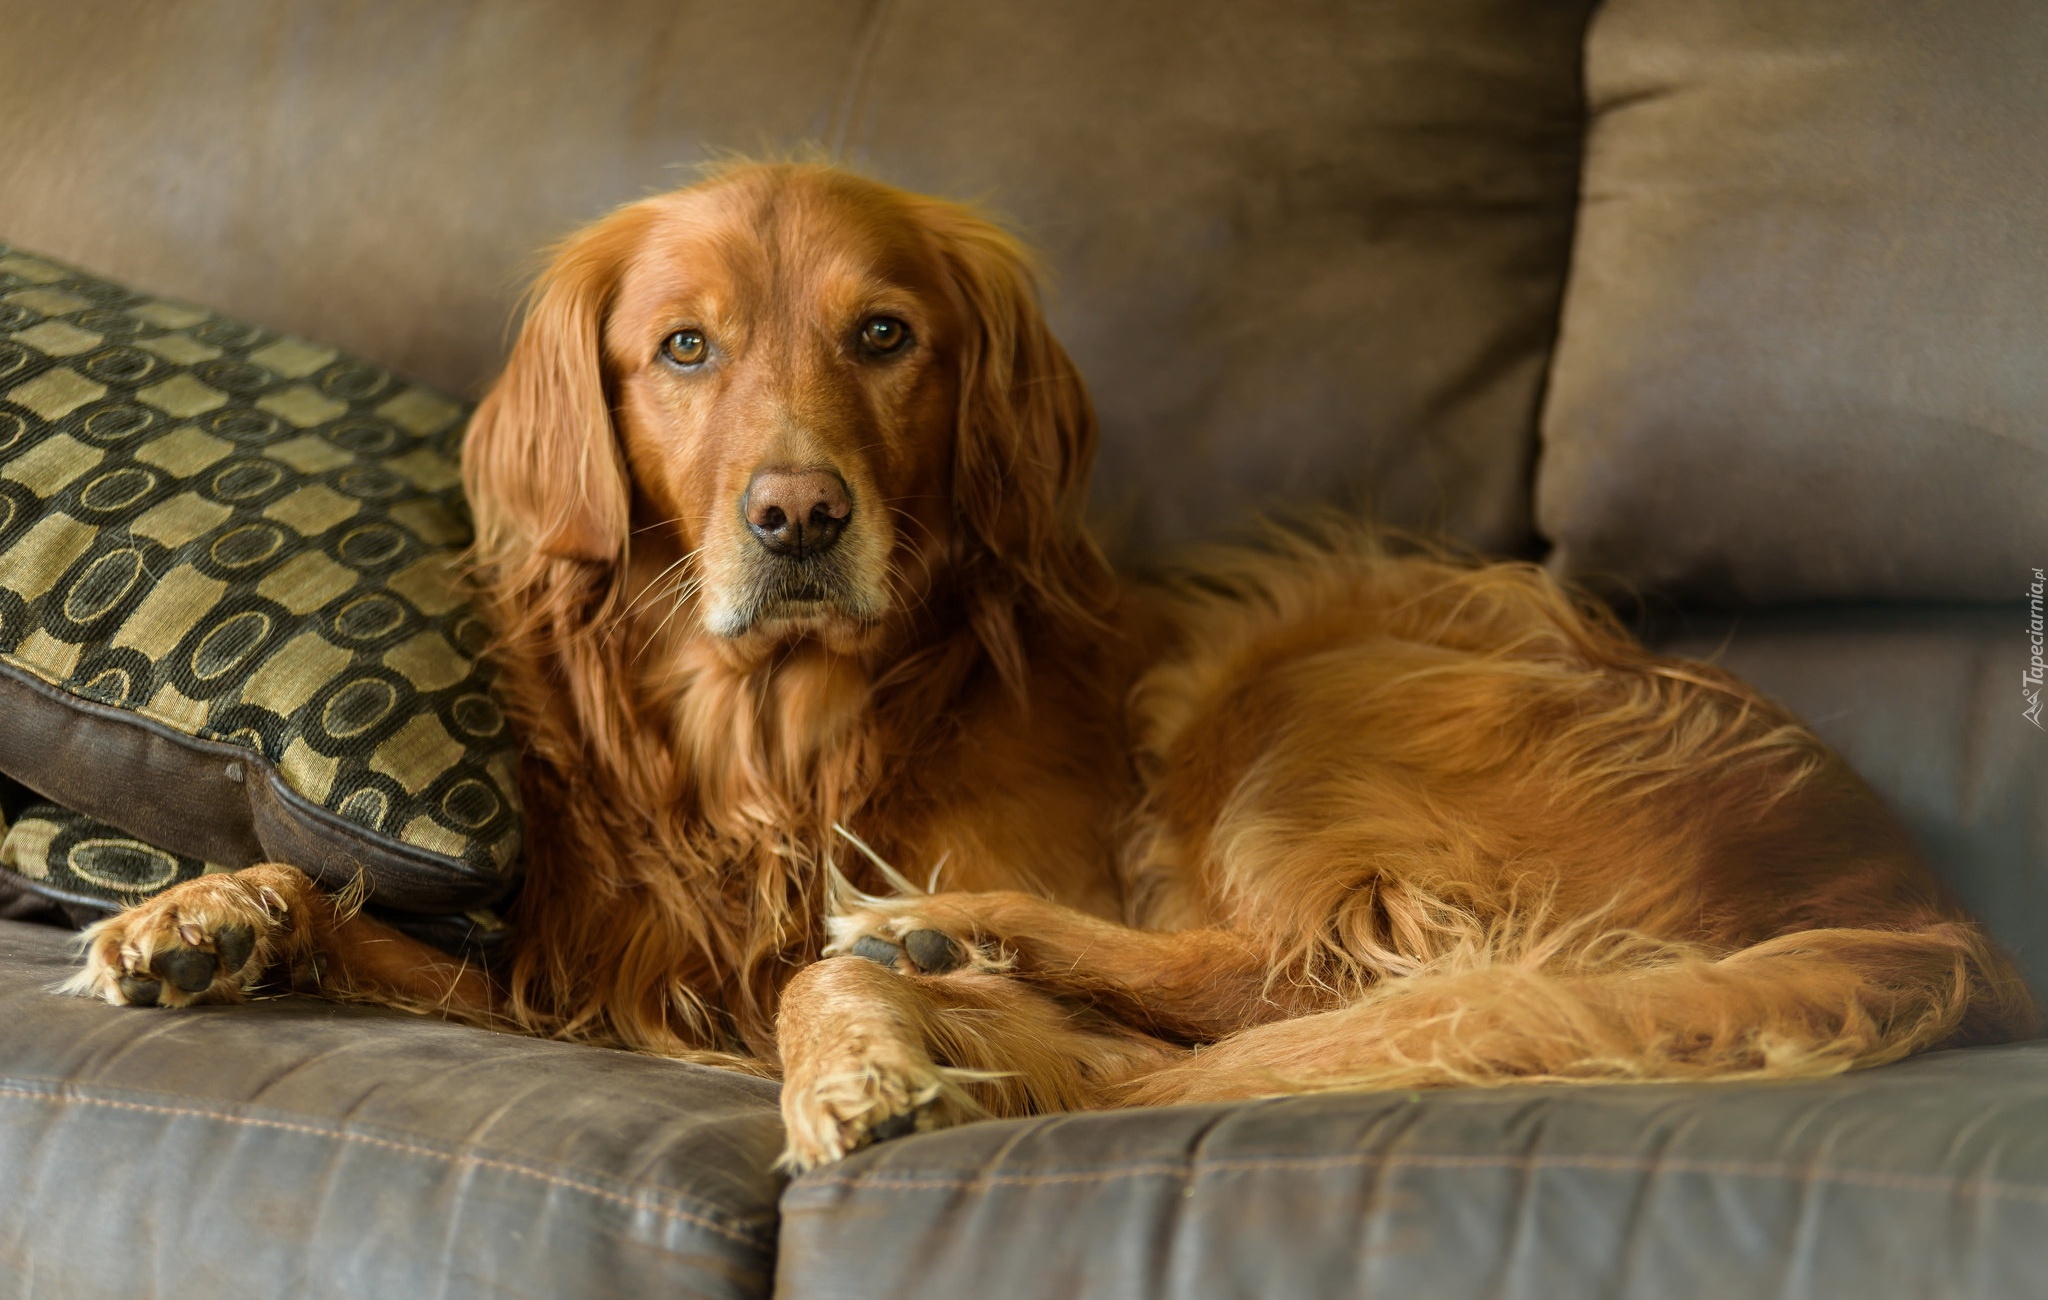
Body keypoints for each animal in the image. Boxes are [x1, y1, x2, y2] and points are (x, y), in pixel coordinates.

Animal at [64, 162, 2031, 1171]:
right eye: (683, 350)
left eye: (885, 336)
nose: (796, 516)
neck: (783, 751)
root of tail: (1914, 898)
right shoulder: (586, 983)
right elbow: (363, 924)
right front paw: (212, 911)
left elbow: (816, 987)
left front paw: (859, 1052)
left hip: (1313, 671)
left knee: (1275, 975)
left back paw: (949, 951)